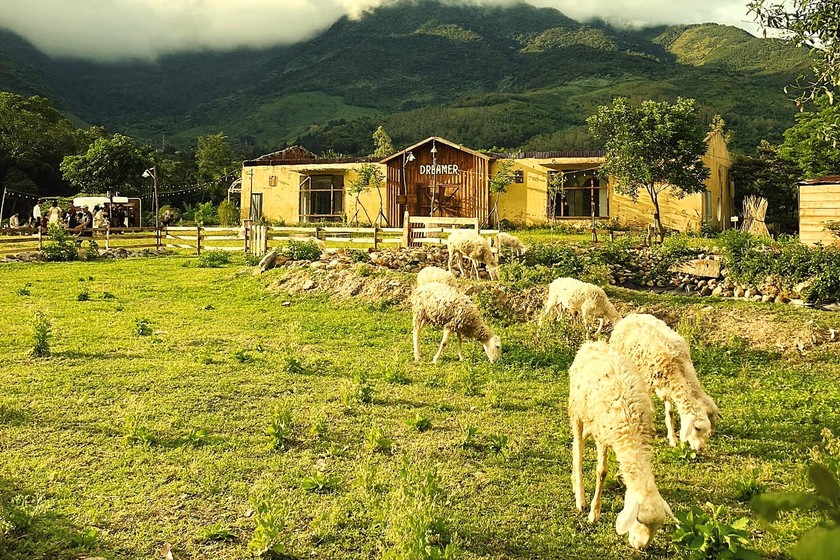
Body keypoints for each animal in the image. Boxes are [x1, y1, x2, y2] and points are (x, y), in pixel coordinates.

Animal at [568, 340, 672, 548]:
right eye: (638, 520)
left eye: (657, 528)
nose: (641, 548)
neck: (632, 435)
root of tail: (592, 343)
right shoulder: (603, 436)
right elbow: (601, 472)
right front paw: (594, 513)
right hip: (577, 411)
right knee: (578, 449)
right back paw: (580, 498)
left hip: (591, 420)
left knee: (580, 440)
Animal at [612, 312, 720, 452]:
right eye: (697, 428)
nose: (700, 448)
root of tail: (629, 317)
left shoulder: (669, 389)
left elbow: (670, 414)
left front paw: (672, 438)